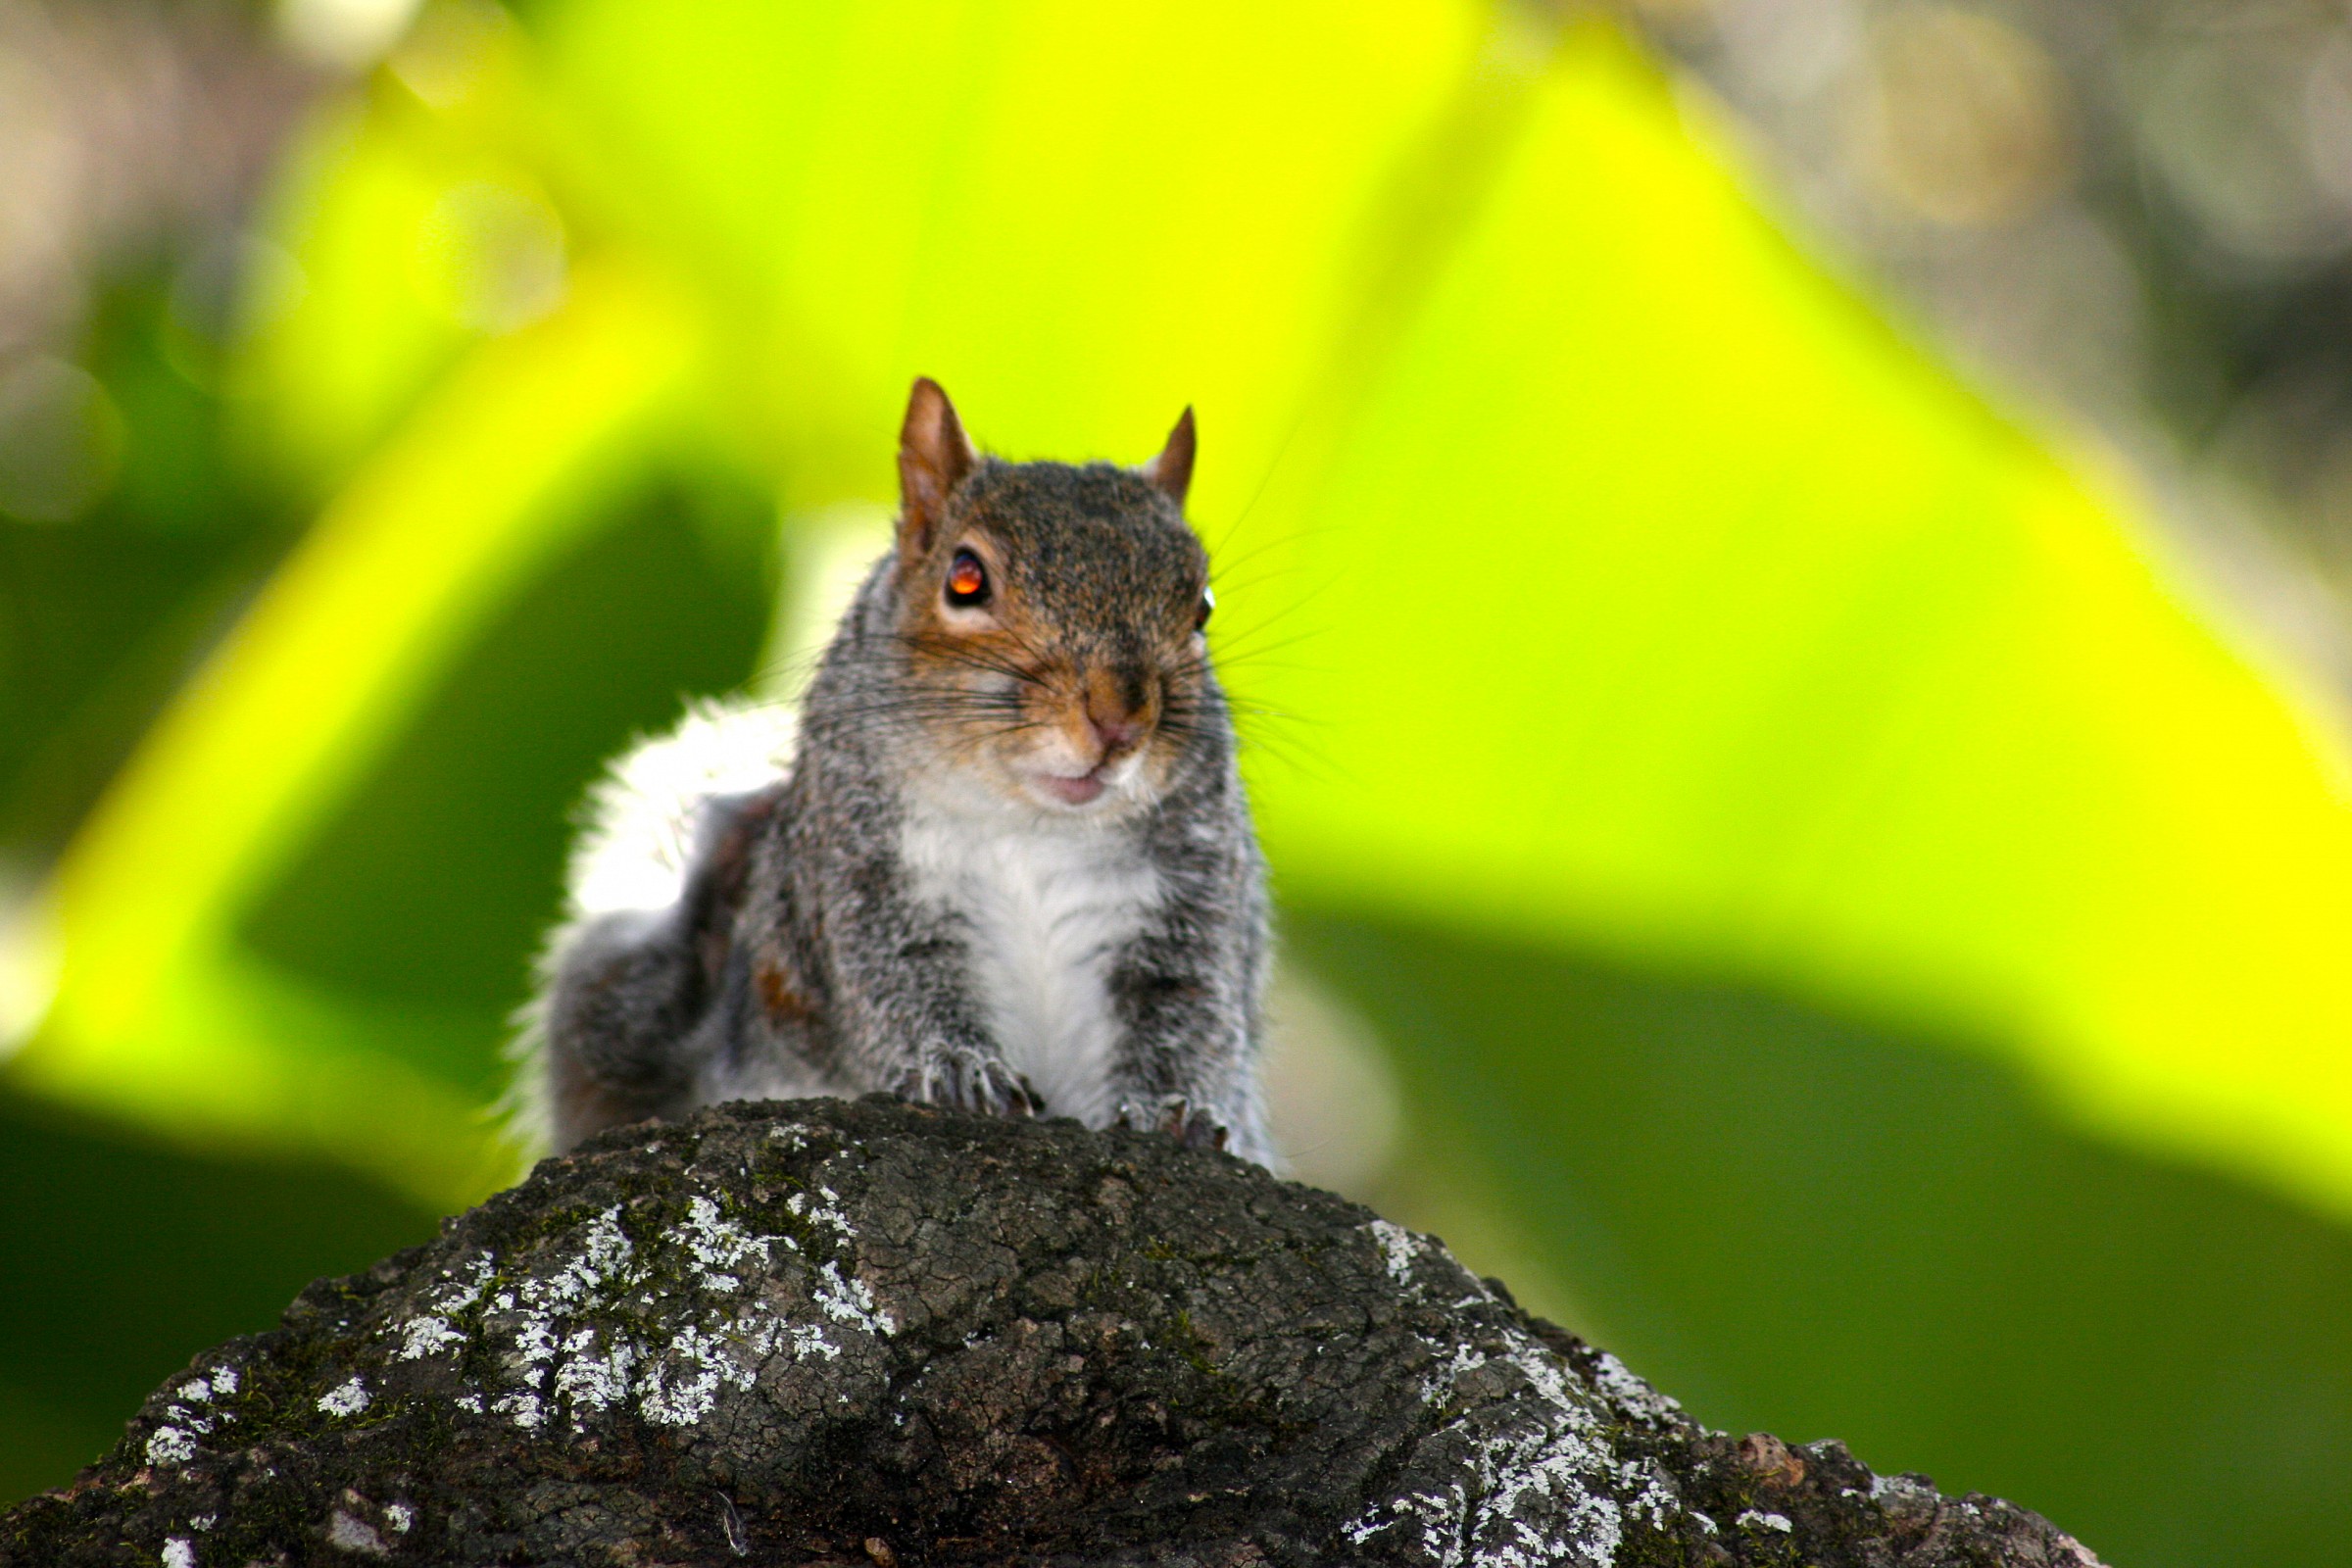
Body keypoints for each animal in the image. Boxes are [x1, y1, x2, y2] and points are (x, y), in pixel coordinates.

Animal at [512, 379, 1276, 1168]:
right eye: (965, 579)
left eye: (1202, 607)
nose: (1120, 718)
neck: (1031, 824)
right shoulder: (860, 871)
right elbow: (899, 981)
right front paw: (960, 1070)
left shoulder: (1191, 896)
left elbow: (1187, 1012)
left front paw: (1173, 1111)